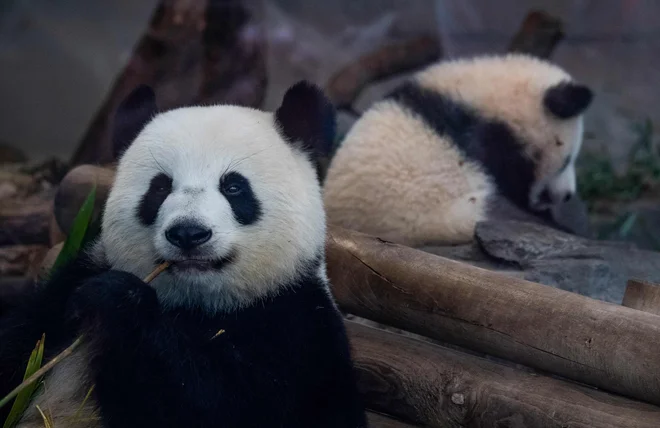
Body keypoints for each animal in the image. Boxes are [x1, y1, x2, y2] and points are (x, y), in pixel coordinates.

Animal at [0, 82, 368, 426]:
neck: (197, 305)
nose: (188, 233)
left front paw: (117, 299)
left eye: (233, 186)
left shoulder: (296, 329)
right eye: (160, 187)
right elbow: (22, 342)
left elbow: (212, 406)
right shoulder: (67, 286)